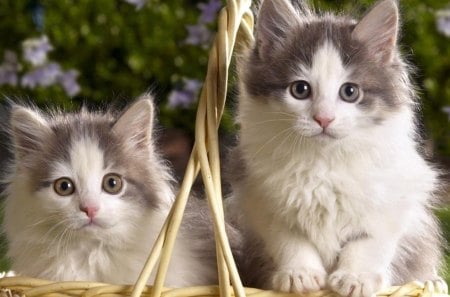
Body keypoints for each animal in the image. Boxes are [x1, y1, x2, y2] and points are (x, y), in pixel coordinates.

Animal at [230, 0, 444, 296]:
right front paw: (300, 274)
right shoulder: (262, 199)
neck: (323, 161)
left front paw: (356, 278)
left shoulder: (394, 201)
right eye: (300, 89)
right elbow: (290, 239)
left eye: (350, 92)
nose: (324, 119)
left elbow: (368, 242)